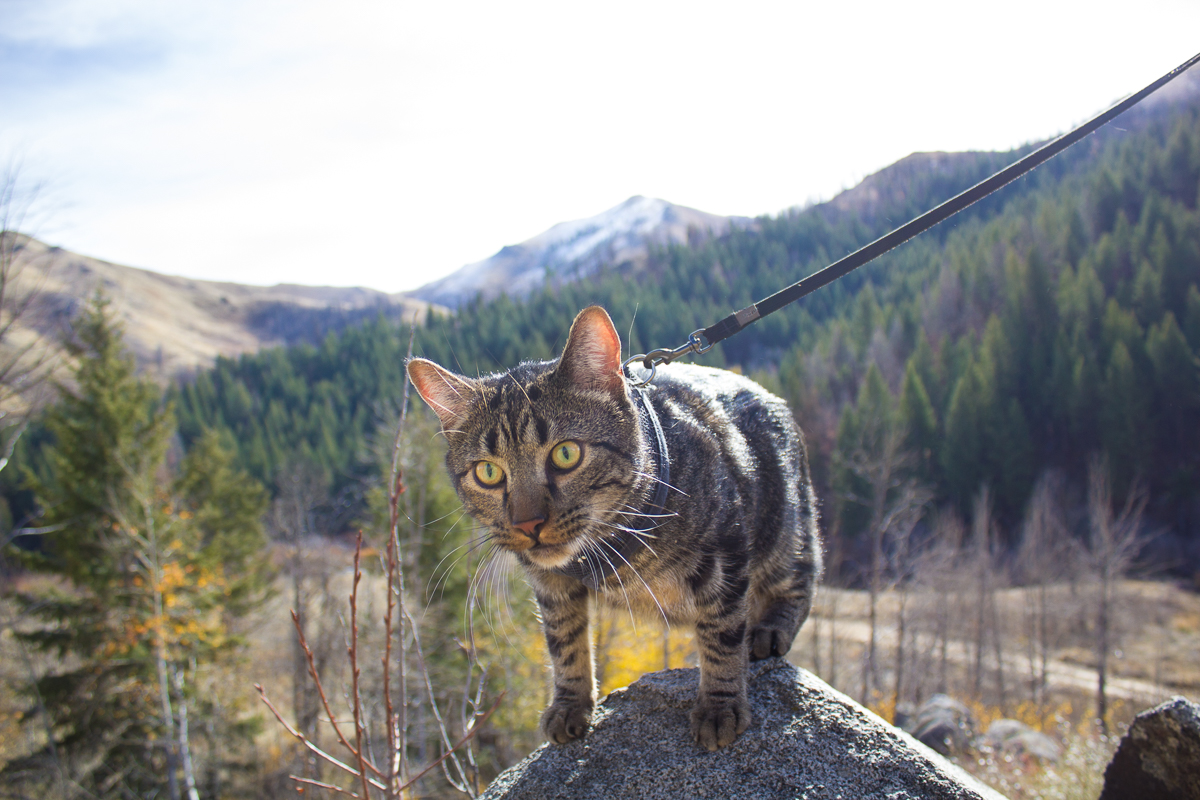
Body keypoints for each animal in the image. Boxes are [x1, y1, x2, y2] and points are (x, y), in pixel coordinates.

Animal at [408, 307, 820, 753]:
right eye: (488, 473)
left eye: (566, 454)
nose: (528, 523)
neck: (611, 547)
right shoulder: (551, 585)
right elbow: (564, 643)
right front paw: (570, 704)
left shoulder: (725, 552)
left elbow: (721, 633)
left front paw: (719, 706)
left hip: (786, 526)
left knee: (799, 576)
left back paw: (771, 629)